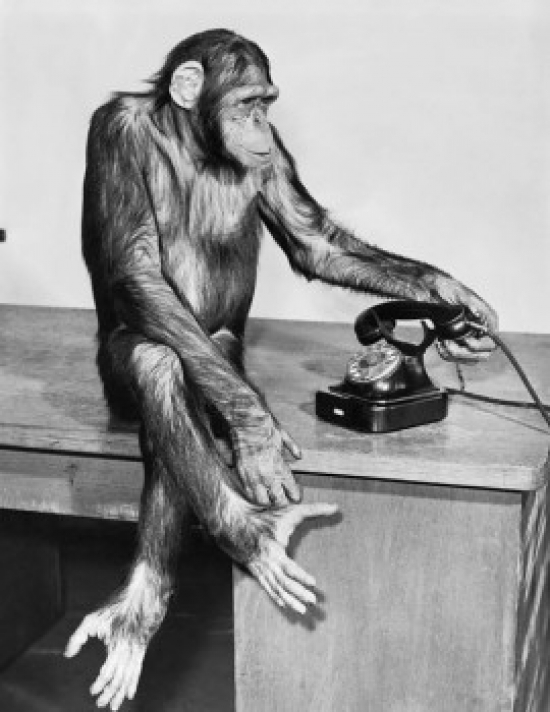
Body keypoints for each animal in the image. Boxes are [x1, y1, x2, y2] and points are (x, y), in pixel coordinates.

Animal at [64, 29, 498, 710]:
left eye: (266, 104)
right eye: (247, 101)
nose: (258, 123)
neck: (192, 137)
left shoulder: (278, 157)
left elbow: (313, 238)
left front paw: (456, 304)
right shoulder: (112, 132)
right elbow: (136, 265)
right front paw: (258, 434)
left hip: (228, 355)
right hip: (142, 380)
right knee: (158, 359)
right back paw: (233, 544)